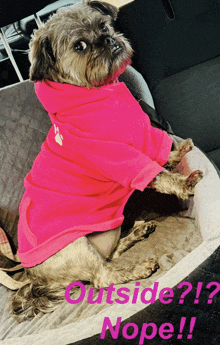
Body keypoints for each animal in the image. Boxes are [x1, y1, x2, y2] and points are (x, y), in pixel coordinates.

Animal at [10, 0, 203, 320]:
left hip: (105, 236)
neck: (100, 92)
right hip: (76, 247)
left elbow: (160, 153)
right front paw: (184, 183)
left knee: (110, 255)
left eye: (103, 26)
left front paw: (178, 153)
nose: (108, 40)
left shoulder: (141, 134)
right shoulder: (118, 156)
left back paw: (137, 232)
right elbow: (157, 174)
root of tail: (35, 278)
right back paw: (140, 267)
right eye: (80, 46)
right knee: (104, 276)